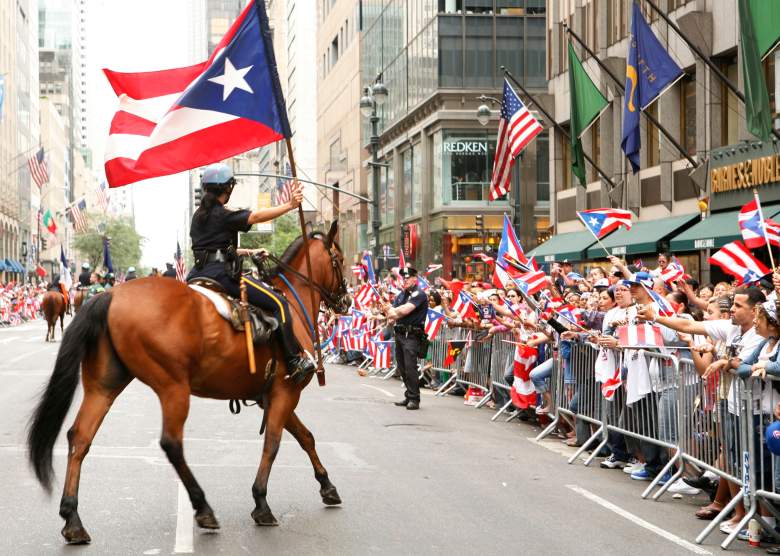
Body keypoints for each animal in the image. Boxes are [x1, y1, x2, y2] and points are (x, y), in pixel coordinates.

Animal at [26, 222, 350, 544]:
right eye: (340, 259)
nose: (346, 300)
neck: (292, 306)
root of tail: (110, 296)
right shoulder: (286, 392)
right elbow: (273, 443)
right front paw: (261, 502)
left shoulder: (270, 397)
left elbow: (306, 437)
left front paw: (327, 486)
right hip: (173, 387)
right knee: (171, 444)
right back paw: (203, 508)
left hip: (104, 387)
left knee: (80, 437)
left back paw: (72, 519)